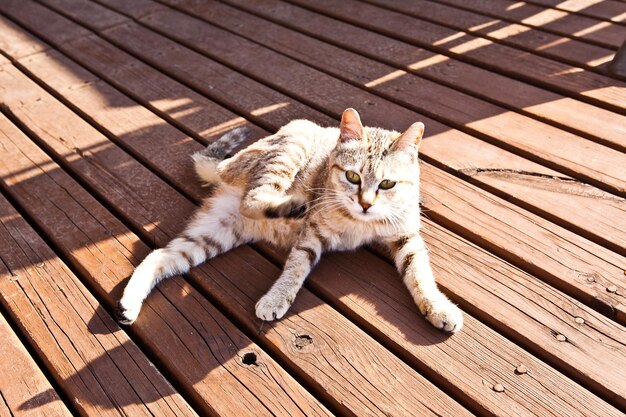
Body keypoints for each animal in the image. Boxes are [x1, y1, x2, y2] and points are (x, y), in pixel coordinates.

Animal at [114, 107, 460, 332]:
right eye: (352, 176)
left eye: (387, 184)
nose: (365, 203)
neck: (360, 222)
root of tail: (225, 168)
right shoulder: (313, 232)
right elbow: (295, 267)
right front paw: (276, 298)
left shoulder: (406, 236)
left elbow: (420, 273)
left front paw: (438, 306)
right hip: (290, 149)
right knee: (255, 198)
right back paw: (289, 205)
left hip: (213, 233)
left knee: (160, 255)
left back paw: (129, 302)